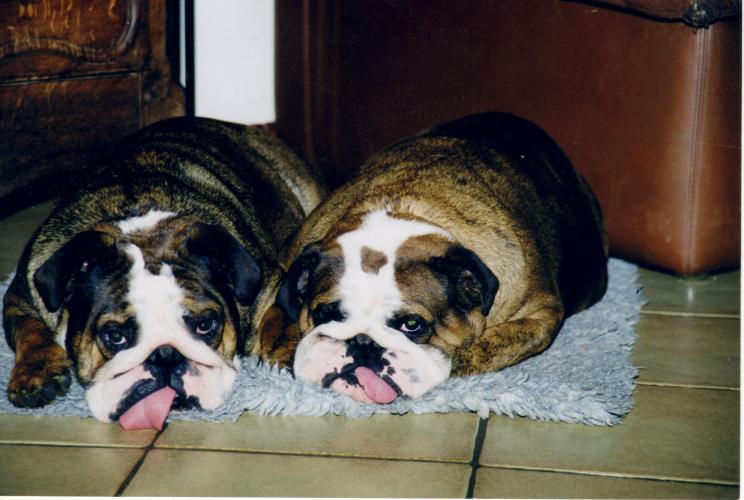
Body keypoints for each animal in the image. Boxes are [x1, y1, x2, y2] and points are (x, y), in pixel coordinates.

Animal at [3, 117, 326, 426]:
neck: (138, 223)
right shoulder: (22, 293)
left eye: (205, 324)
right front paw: (36, 372)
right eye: (114, 336)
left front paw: (287, 353)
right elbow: (27, 327)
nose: (165, 355)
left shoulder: (268, 284)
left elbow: (277, 318)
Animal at [252, 112, 608, 404]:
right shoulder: (286, 267)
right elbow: (275, 318)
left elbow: (483, 350)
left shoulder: (540, 316)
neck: (406, 209)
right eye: (326, 314)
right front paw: (284, 349)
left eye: (412, 325)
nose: (362, 343)